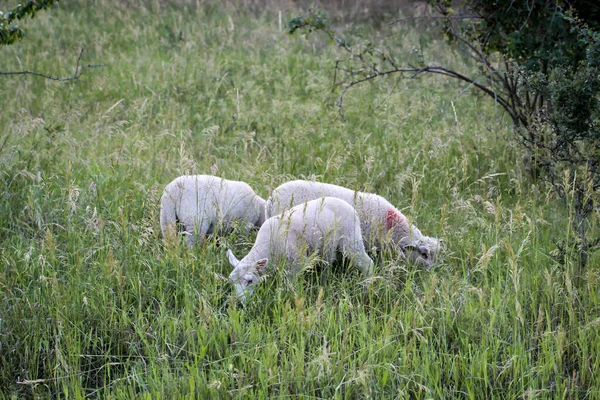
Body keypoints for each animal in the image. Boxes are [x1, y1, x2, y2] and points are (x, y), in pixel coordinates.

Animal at [227, 195, 372, 302]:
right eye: (232, 281)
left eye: (250, 281)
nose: (238, 302)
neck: (268, 246)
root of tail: (350, 206)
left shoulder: (296, 264)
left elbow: (291, 286)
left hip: (351, 238)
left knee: (367, 263)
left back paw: (367, 286)